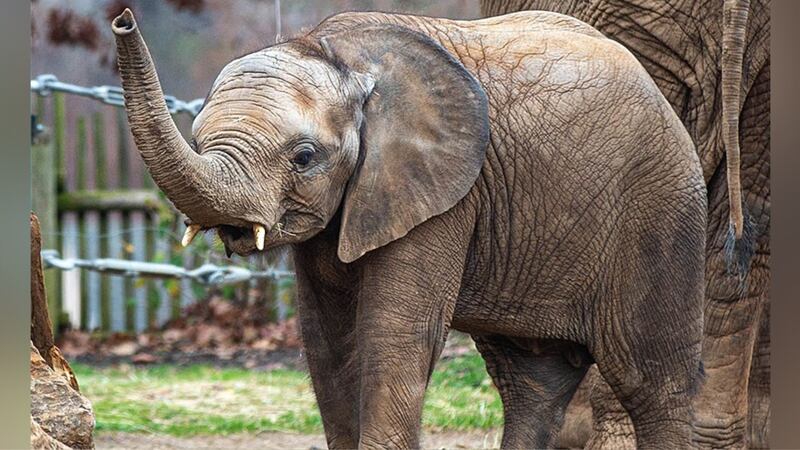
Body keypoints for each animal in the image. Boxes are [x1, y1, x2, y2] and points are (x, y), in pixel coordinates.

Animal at [111, 8, 711, 449]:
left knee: (653, 384)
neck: (336, 52)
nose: (122, 19)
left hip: (662, 211)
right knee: (531, 381)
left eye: (304, 157)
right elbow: (328, 339)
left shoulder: (445, 195)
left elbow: (394, 334)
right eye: (197, 135)